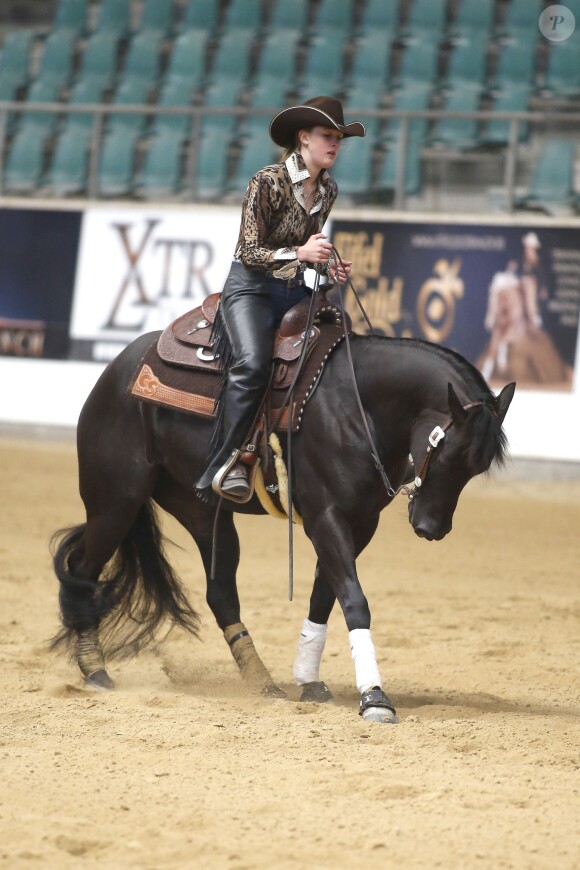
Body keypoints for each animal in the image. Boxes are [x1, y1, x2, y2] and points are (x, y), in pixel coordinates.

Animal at [50, 324, 515, 724]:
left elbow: (324, 596)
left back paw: (263, 684)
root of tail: (120, 365)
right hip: (116, 501)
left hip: (201, 512)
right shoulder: (325, 517)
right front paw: (374, 698)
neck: (356, 404)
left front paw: (308, 680)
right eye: (449, 453)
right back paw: (94, 669)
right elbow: (354, 600)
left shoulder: (360, 522)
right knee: (82, 568)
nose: (432, 527)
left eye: (476, 468)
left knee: (221, 594)